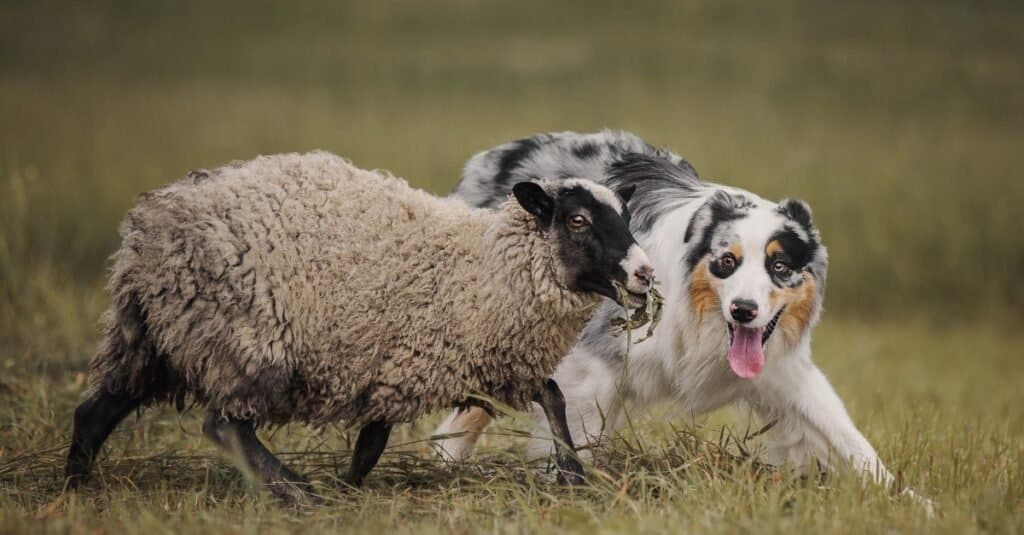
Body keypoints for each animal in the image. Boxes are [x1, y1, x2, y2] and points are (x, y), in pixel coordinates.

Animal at [66, 150, 655, 500]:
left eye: (625, 217)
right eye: (577, 220)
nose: (645, 273)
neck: (485, 265)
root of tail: (149, 231)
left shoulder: (461, 361)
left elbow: (551, 396)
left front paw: (572, 473)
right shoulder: (419, 360)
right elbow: (375, 441)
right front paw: (344, 490)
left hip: (150, 339)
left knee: (94, 413)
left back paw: (74, 488)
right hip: (242, 338)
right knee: (225, 425)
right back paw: (294, 491)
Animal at [436, 129, 917, 496]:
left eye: (779, 266)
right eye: (726, 261)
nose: (744, 310)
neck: (701, 318)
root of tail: (489, 159)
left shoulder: (783, 372)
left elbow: (846, 436)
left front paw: (908, 501)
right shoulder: (591, 369)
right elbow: (574, 436)